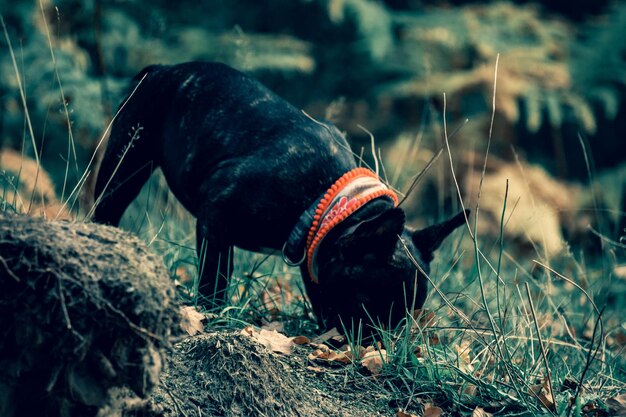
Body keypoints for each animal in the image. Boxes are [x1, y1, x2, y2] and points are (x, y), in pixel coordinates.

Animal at [91, 61, 464, 328]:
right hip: (128, 159)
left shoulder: (311, 251)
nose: (381, 344)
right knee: (108, 205)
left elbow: (316, 288)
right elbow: (215, 275)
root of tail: (163, 68)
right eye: (370, 306)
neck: (328, 201)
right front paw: (210, 312)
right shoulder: (216, 215)